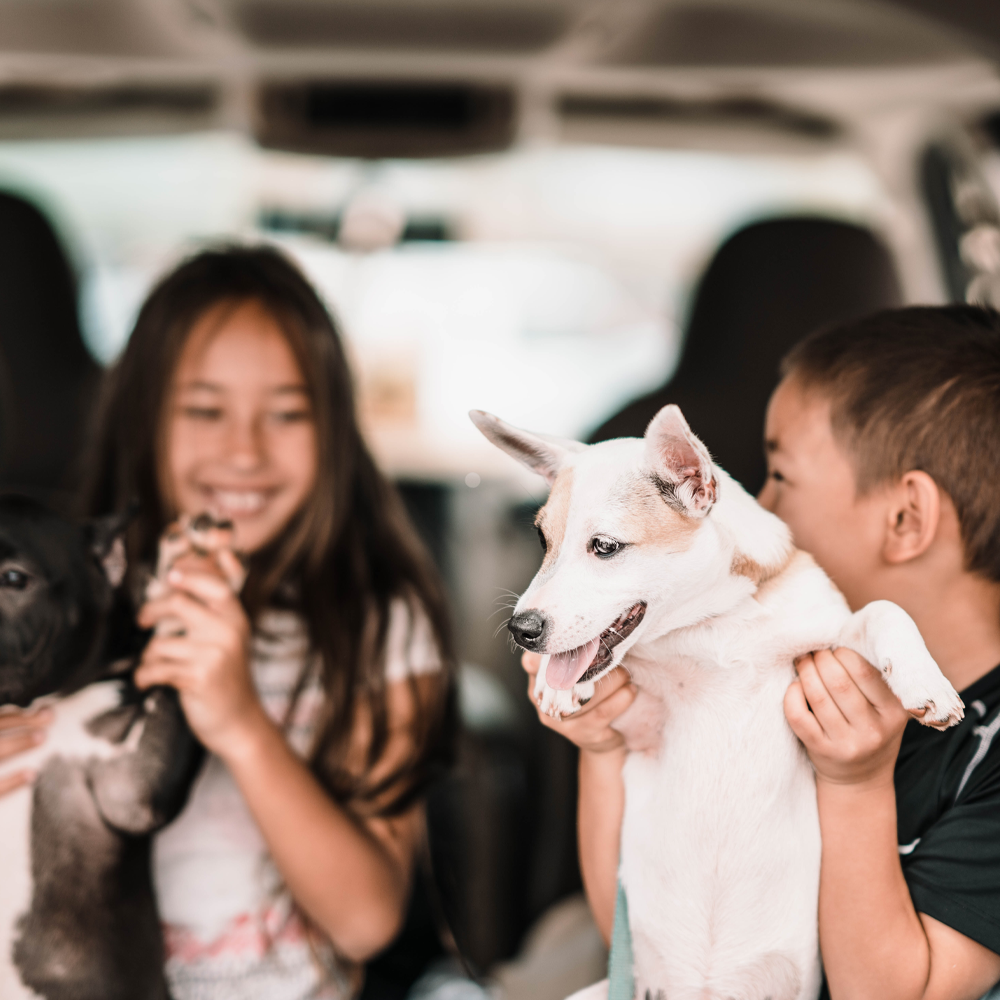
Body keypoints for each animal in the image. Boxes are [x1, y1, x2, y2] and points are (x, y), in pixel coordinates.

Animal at [472, 404, 964, 1000]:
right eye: (543, 541)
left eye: (604, 547)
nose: (521, 630)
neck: (712, 624)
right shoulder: (643, 720)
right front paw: (556, 684)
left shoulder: (831, 632)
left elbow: (885, 609)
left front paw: (926, 683)